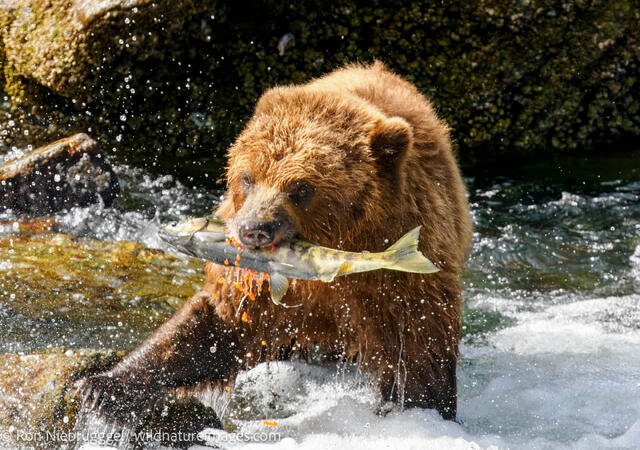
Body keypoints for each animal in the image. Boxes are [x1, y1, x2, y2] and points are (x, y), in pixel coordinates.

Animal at [79, 61, 473, 423]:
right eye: (248, 176)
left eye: (302, 187)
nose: (254, 229)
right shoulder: (257, 282)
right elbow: (215, 326)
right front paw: (103, 385)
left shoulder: (400, 283)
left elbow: (416, 352)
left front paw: (418, 407)